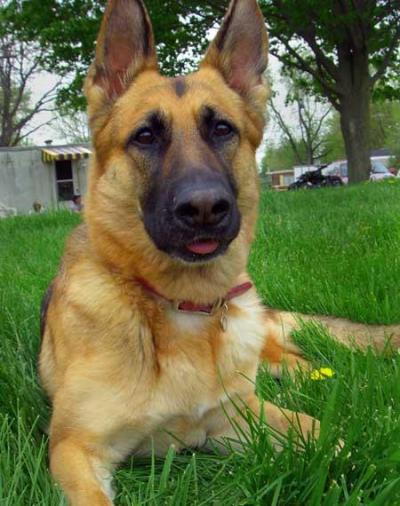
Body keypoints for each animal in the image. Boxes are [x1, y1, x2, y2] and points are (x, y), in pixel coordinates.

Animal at [39, 0, 400, 502]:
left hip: (267, 353)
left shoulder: (239, 418)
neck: (179, 305)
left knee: (304, 365)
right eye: (145, 136)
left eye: (222, 130)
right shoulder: (73, 447)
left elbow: (325, 434)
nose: (204, 207)